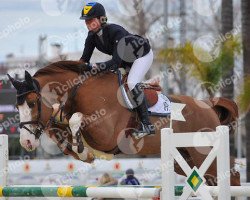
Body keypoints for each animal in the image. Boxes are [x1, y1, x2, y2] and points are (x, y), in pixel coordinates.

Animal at [7, 60, 240, 186]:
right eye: (17, 107)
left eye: (32, 102)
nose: (26, 142)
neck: (78, 91)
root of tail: (208, 105)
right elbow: (63, 133)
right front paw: (83, 152)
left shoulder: (106, 135)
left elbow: (76, 119)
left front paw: (82, 148)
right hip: (185, 160)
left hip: (203, 153)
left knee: (229, 175)